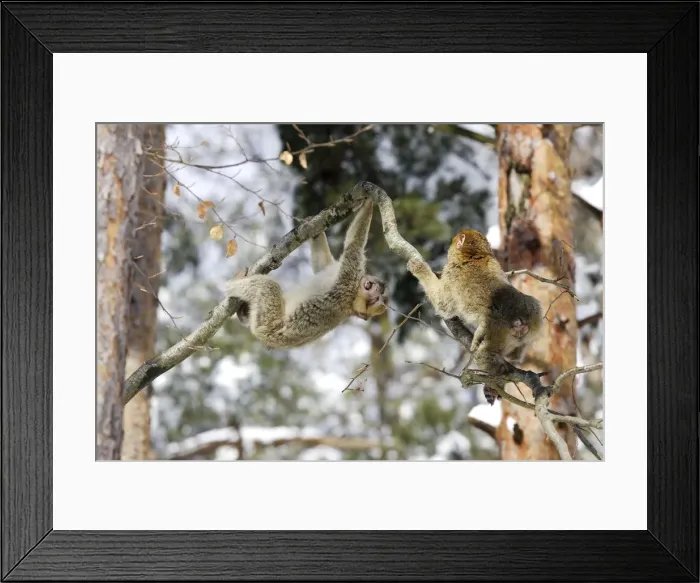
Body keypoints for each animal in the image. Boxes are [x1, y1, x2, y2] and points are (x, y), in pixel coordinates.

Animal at [225, 199, 389, 349]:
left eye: (374, 299)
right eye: (377, 296)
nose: (374, 288)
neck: (354, 297)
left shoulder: (348, 279)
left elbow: (354, 245)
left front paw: (369, 200)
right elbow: (322, 264)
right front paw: (315, 229)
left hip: (266, 324)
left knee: (268, 287)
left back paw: (231, 285)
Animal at [407, 228, 544, 380]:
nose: (448, 248)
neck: (474, 254)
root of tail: (518, 319)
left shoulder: (451, 272)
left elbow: (443, 305)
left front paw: (420, 269)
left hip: (496, 332)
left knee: (483, 354)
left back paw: (495, 370)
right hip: (534, 315)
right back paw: (515, 354)